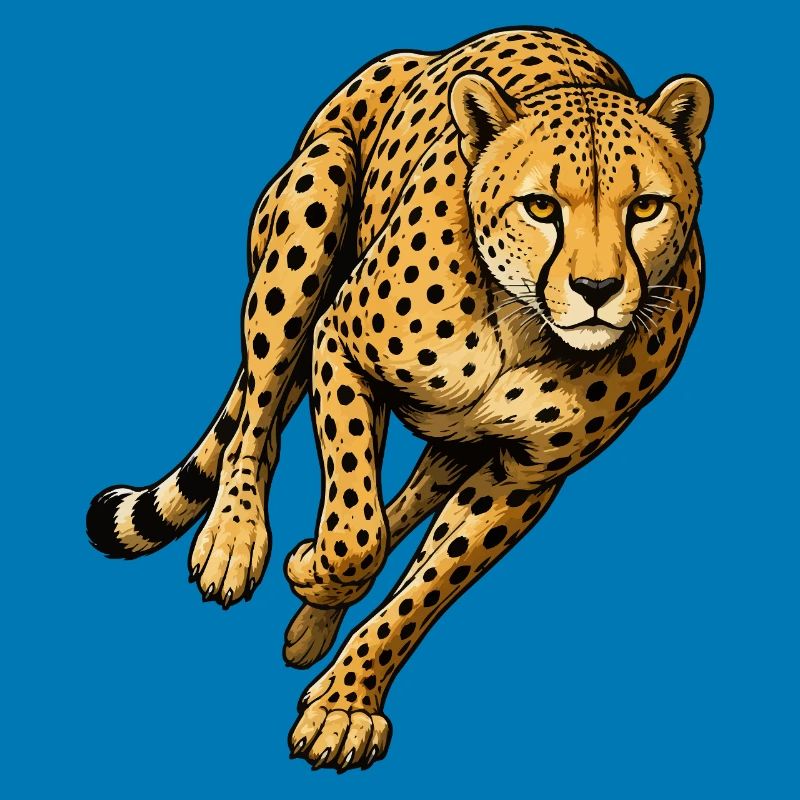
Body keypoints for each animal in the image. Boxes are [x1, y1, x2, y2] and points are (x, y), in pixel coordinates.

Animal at [87, 26, 712, 771]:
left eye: (645, 206)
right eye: (540, 206)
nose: (597, 289)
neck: (521, 324)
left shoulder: (523, 474)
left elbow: (424, 583)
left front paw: (343, 703)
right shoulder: (339, 342)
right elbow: (354, 535)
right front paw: (311, 570)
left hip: (453, 445)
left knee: (401, 506)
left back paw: (310, 624)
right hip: (310, 209)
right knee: (261, 412)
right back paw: (234, 540)